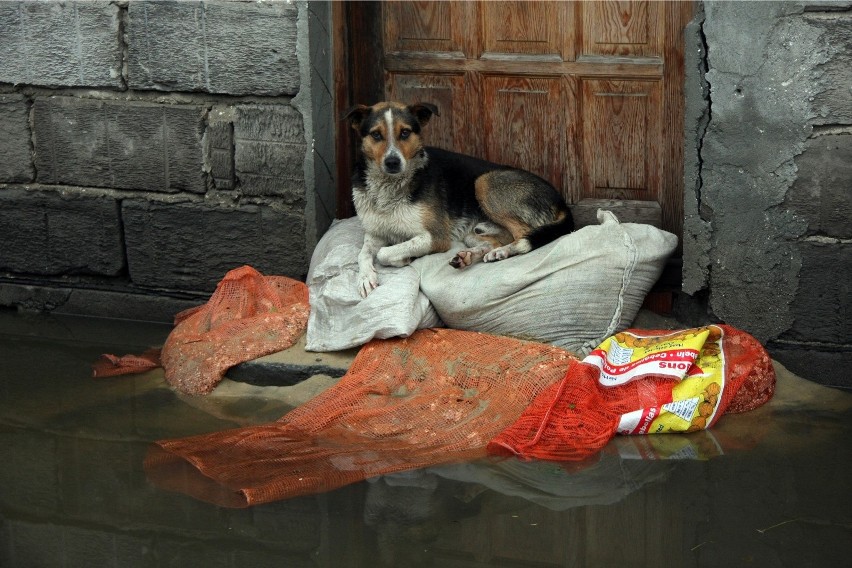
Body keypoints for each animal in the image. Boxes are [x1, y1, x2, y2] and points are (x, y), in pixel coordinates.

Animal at [342, 101, 576, 298]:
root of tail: (560, 200)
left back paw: (502, 252)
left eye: (405, 133)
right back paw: (469, 256)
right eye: (376, 135)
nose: (392, 162)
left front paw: (404, 258)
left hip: (484, 182)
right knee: (493, 241)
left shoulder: (436, 237)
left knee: (524, 235)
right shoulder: (375, 233)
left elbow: (384, 253)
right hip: (473, 232)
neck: (389, 188)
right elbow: (364, 254)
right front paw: (365, 278)